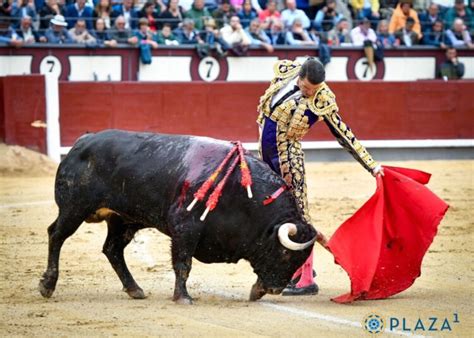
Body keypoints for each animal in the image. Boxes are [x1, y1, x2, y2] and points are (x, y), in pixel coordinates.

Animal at [39, 129, 316, 304]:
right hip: (74, 208)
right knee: (57, 235)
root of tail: (83, 141)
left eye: (300, 260)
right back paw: (47, 286)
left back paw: (135, 289)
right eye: (284, 254)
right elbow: (183, 264)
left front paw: (256, 291)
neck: (242, 193)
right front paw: (183, 297)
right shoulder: (185, 228)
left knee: (112, 249)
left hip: (123, 220)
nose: (276, 289)